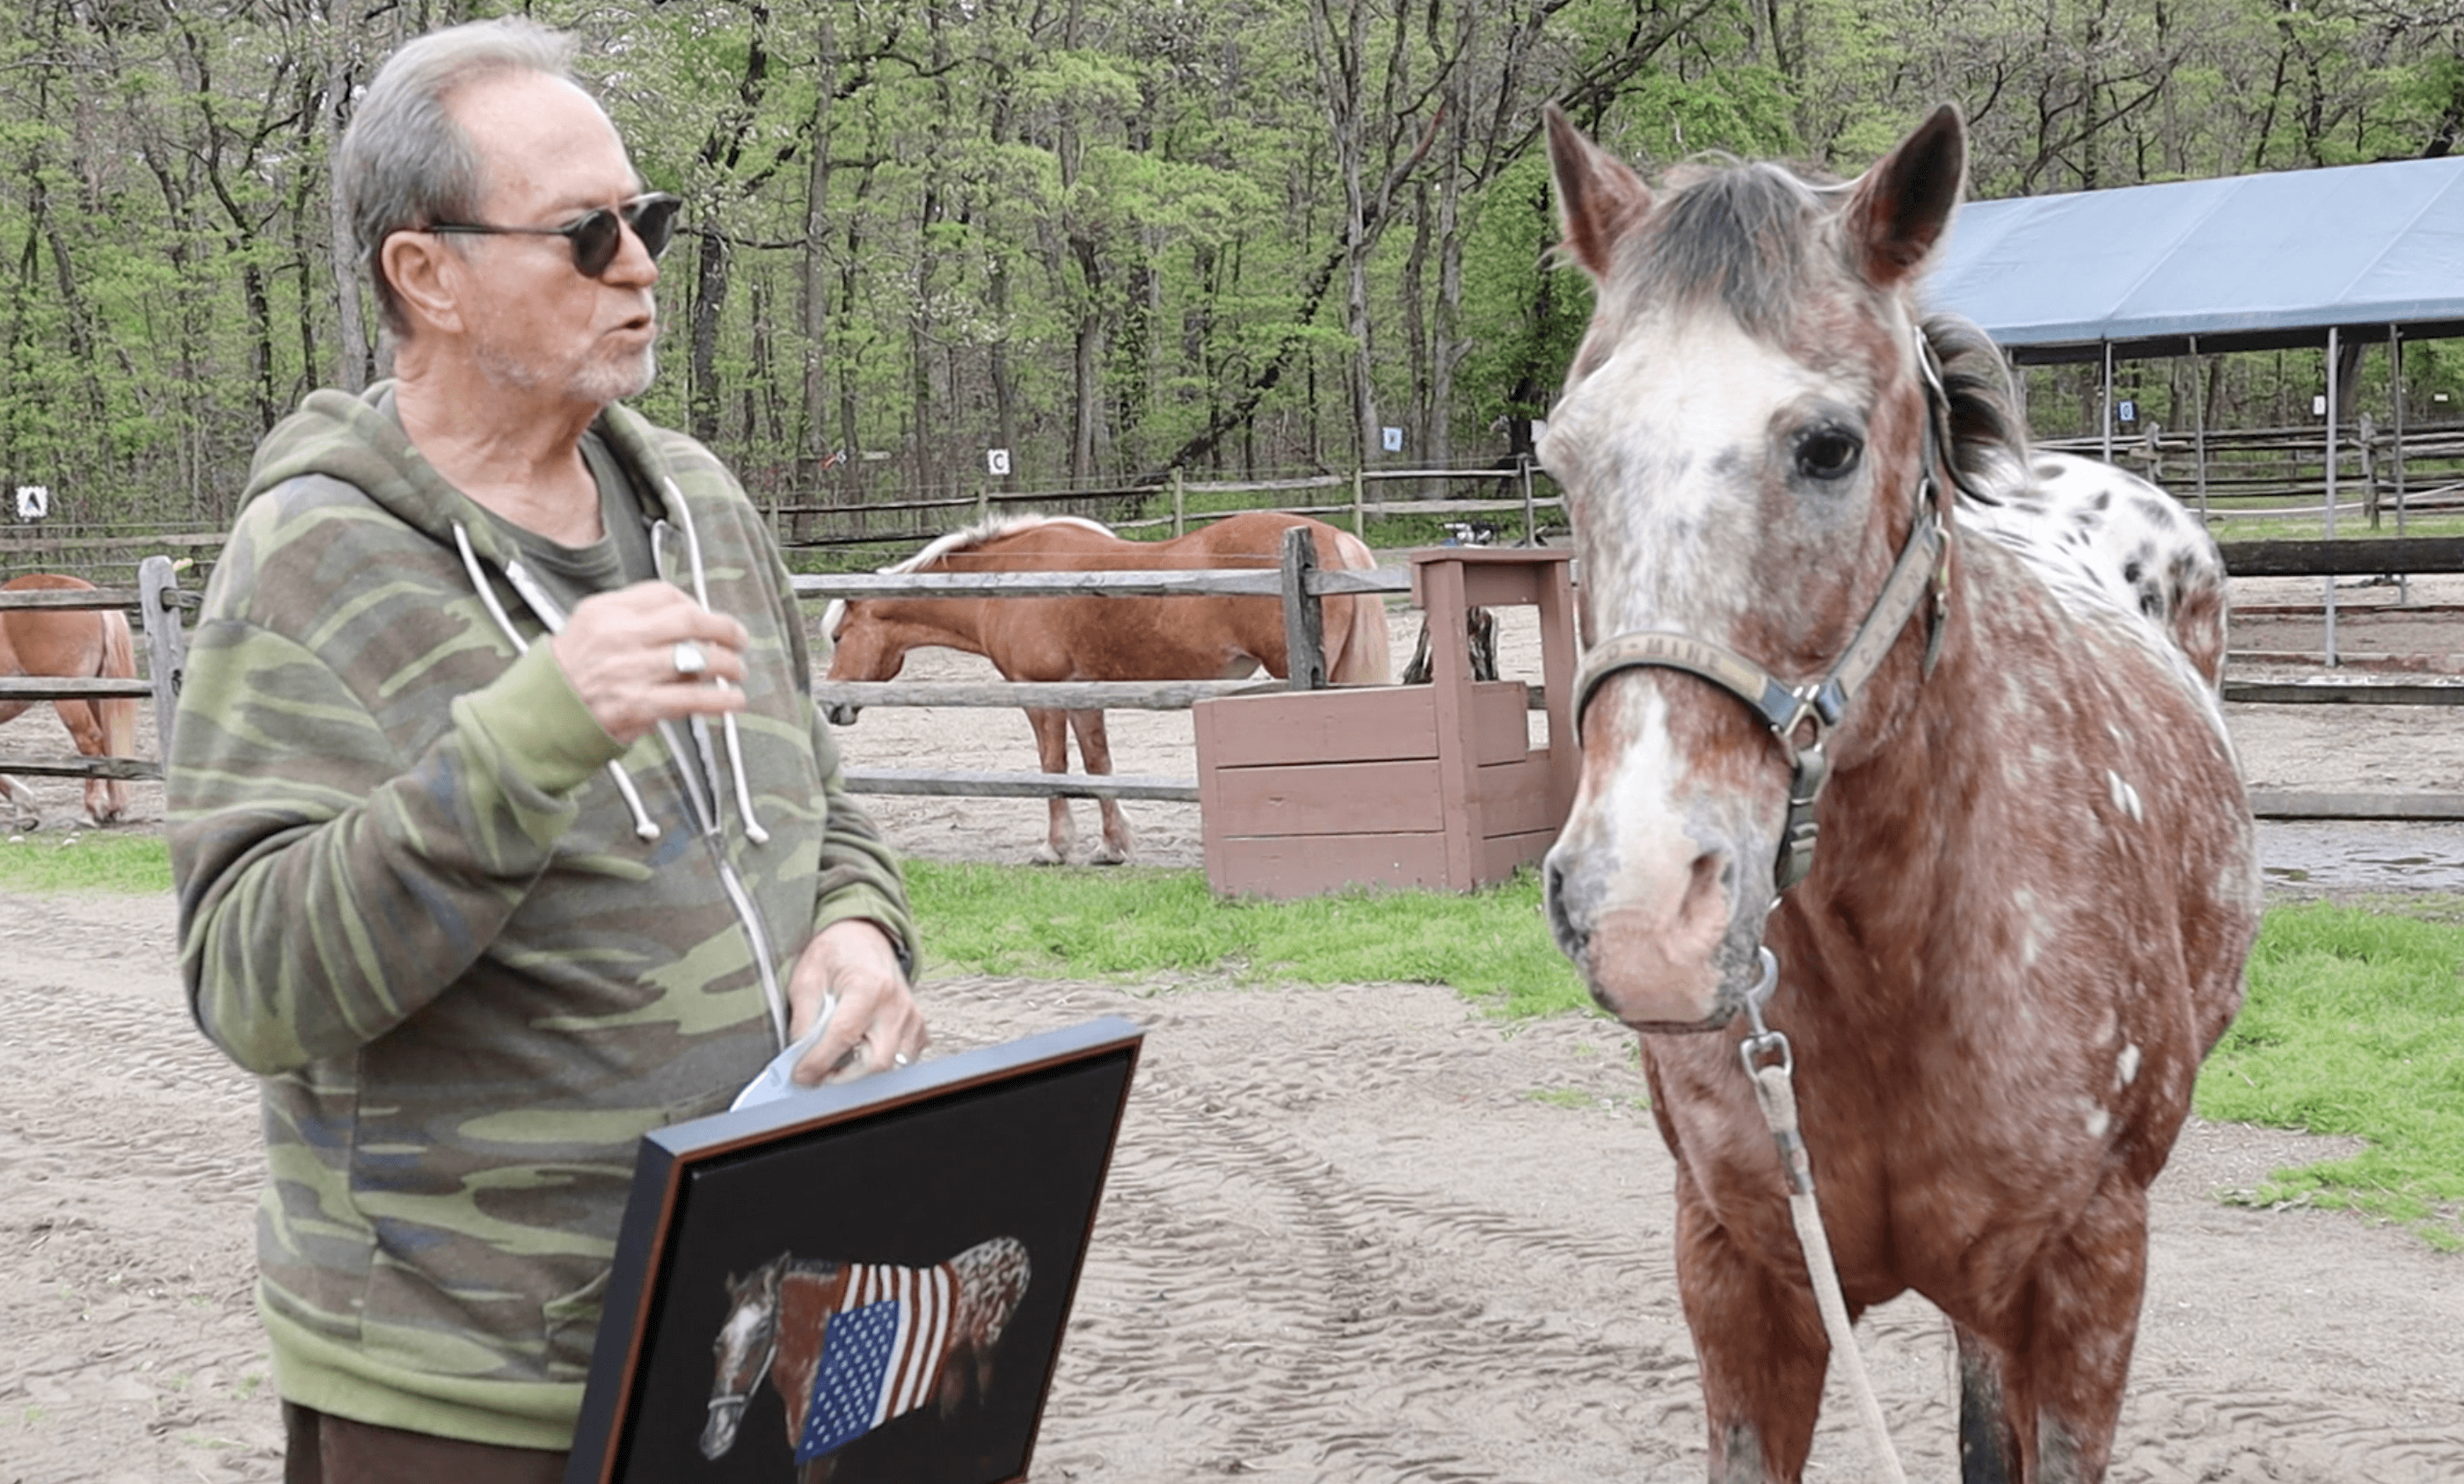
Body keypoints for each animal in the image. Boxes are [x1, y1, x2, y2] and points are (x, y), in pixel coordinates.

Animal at [0, 573, 140, 829]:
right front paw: (25, 808)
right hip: (95, 695)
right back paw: (112, 807)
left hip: (69, 699)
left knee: (91, 741)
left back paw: (91, 810)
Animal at [700, 1236, 1031, 1483]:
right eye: (718, 1343)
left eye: (762, 1330)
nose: (714, 1438)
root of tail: (1016, 1246)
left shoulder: (827, 1446)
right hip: (957, 1357)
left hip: (986, 1344)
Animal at [824, 510, 1393, 864]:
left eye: (836, 636)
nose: (832, 706)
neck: (1008, 579)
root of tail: (1329, 537)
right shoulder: (1084, 696)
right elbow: (1099, 767)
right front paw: (1112, 847)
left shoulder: (1041, 695)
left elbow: (1052, 768)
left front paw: (1055, 848)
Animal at [1535, 105, 2259, 1483]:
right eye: (1561, 456)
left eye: (1828, 446)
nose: (1644, 913)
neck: (1899, 957)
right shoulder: (1739, 1277)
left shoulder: (2087, 1279)